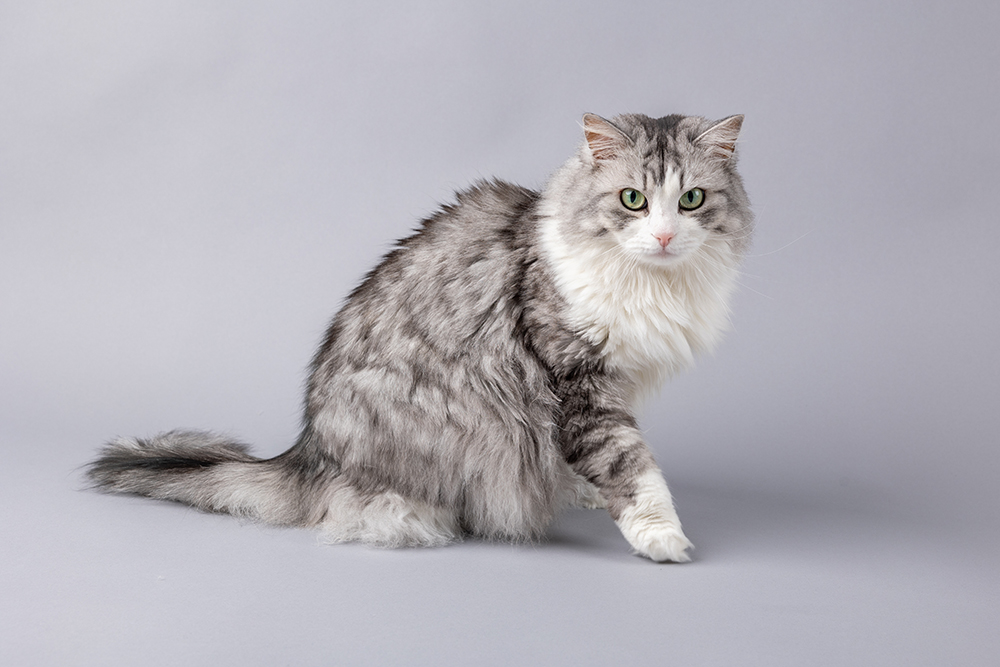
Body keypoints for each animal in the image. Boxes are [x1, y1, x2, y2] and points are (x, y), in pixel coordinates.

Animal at [88, 113, 752, 564]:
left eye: (691, 200)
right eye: (632, 200)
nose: (663, 236)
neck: (654, 284)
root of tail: (306, 451)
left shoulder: (614, 383)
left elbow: (596, 459)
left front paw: (584, 490)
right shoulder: (576, 379)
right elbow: (629, 465)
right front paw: (661, 535)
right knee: (360, 507)